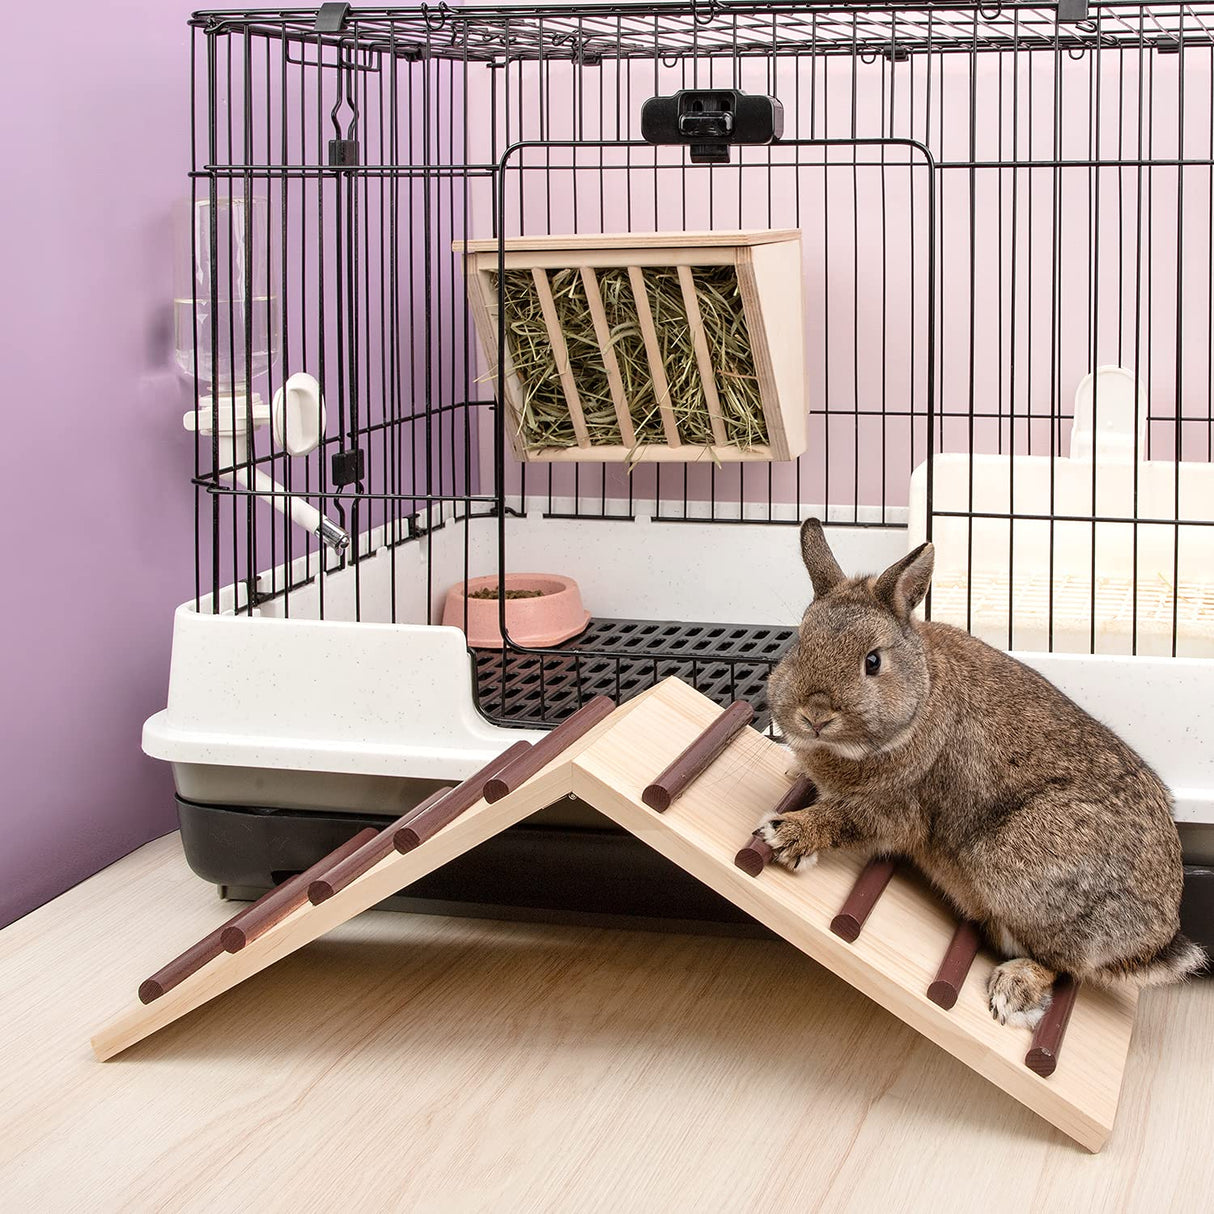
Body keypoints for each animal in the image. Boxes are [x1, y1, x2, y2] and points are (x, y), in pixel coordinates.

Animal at [759, 519, 1205, 1027]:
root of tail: (1156, 938)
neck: (921, 697)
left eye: (872, 662)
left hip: (1013, 865)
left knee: (1066, 965)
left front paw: (787, 834)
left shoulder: (898, 810)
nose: (814, 715)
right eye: (799, 644)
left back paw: (1013, 989)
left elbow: (848, 820)